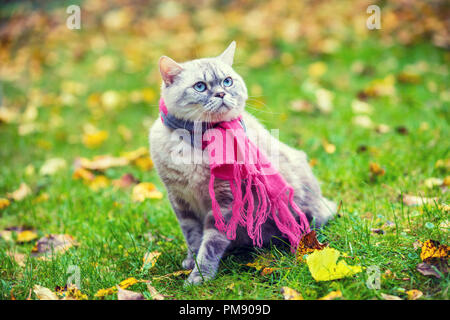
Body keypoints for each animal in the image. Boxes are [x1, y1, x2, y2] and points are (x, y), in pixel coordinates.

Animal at [149, 40, 336, 284]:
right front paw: (190, 262)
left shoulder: (225, 201)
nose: (221, 93)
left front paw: (200, 276)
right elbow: (192, 237)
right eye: (200, 86)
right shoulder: (181, 200)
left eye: (227, 81)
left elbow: (210, 244)